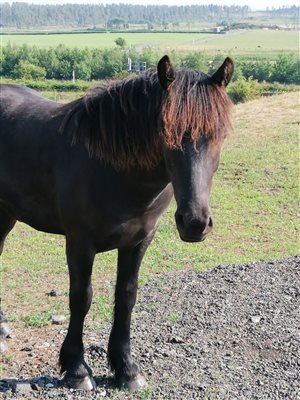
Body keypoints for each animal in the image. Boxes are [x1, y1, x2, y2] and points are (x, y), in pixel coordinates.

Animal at [0, 55, 234, 390]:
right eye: (166, 134)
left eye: (219, 135)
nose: (194, 223)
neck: (111, 169)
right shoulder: (79, 242)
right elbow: (81, 298)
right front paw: (77, 369)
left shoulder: (139, 240)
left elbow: (126, 296)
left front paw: (126, 368)